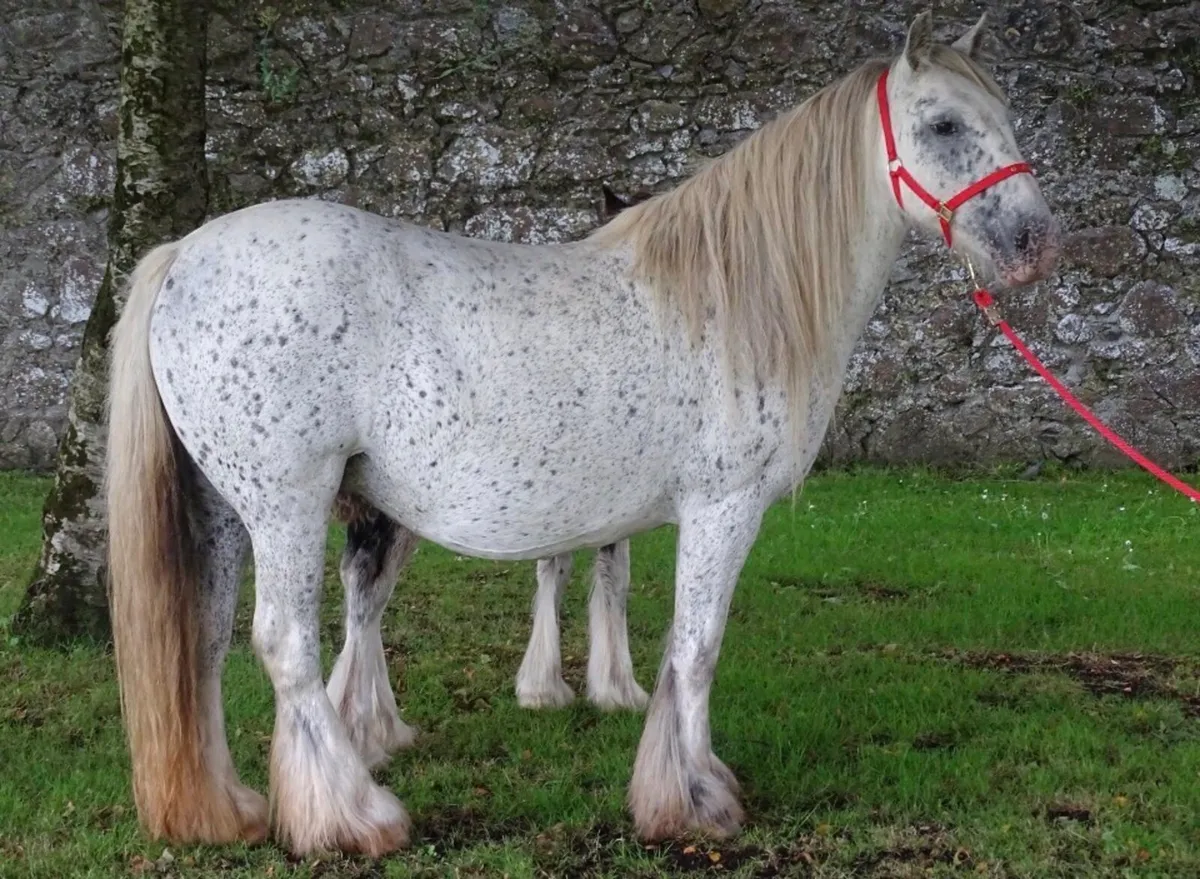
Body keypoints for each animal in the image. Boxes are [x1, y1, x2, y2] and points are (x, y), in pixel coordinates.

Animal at [104, 11, 1060, 856]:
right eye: (942, 123)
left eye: (1005, 116)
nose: (1034, 241)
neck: (732, 296)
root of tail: (185, 254)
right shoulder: (723, 507)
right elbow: (697, 648)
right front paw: (691, 800)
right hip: (288, 505)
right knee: (284, 646)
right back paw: (351, 817)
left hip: (227, 510)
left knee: (202, 643)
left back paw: (223, 810)